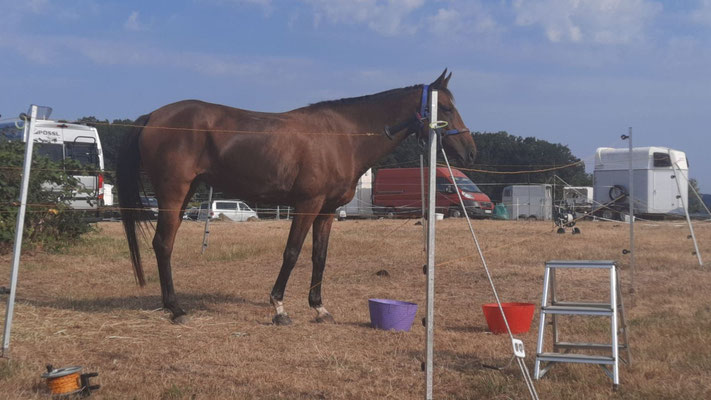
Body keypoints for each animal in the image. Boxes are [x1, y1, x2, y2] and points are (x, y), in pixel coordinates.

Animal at [118, 69, 478, 324]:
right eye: (446, 107)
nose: (469, 151)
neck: (345, 135)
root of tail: (153, 116)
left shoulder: (327, 211)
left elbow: (319, 256)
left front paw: (319, 309)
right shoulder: (308, 205)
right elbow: (291, 253)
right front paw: (279, 308)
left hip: (185, 192)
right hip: (173, 192)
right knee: (163, 244)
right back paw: (176, 309)